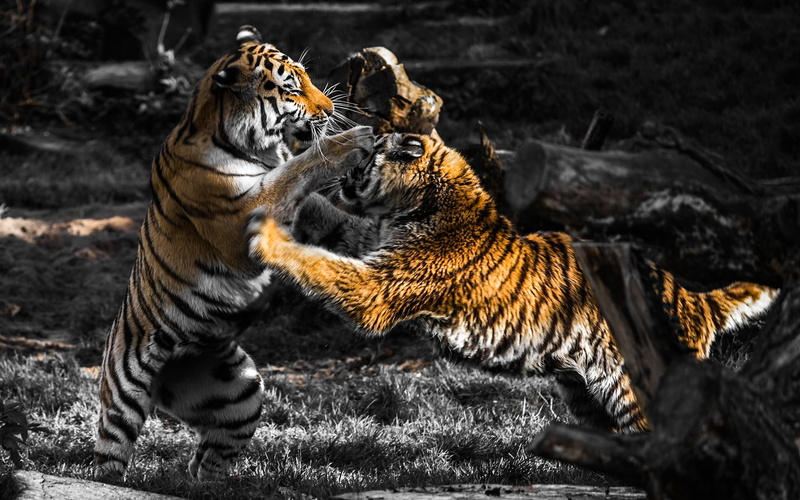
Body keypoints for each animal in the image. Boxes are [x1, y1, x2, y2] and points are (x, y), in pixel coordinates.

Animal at [93, 25, 374, 482]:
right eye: (292, 88)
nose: (331, 108)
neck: (260, 150)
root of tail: (165, 377)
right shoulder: (241, 220)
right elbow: (297, 170)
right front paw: (351, 141)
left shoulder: (302, 211)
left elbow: (326, 212)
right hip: (124, 392)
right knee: (109, 455)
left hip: (240, 392)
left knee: (206, 461)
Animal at [247, 132, 777, 433]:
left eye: (371, 152)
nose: (352, 159)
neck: (405, 208)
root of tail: (695, 301)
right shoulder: (366, 241)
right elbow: (328, 223)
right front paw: (285, 192)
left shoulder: (378, 286)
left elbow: (320, 265)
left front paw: (268, 235)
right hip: (586, 393)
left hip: (638, 391)